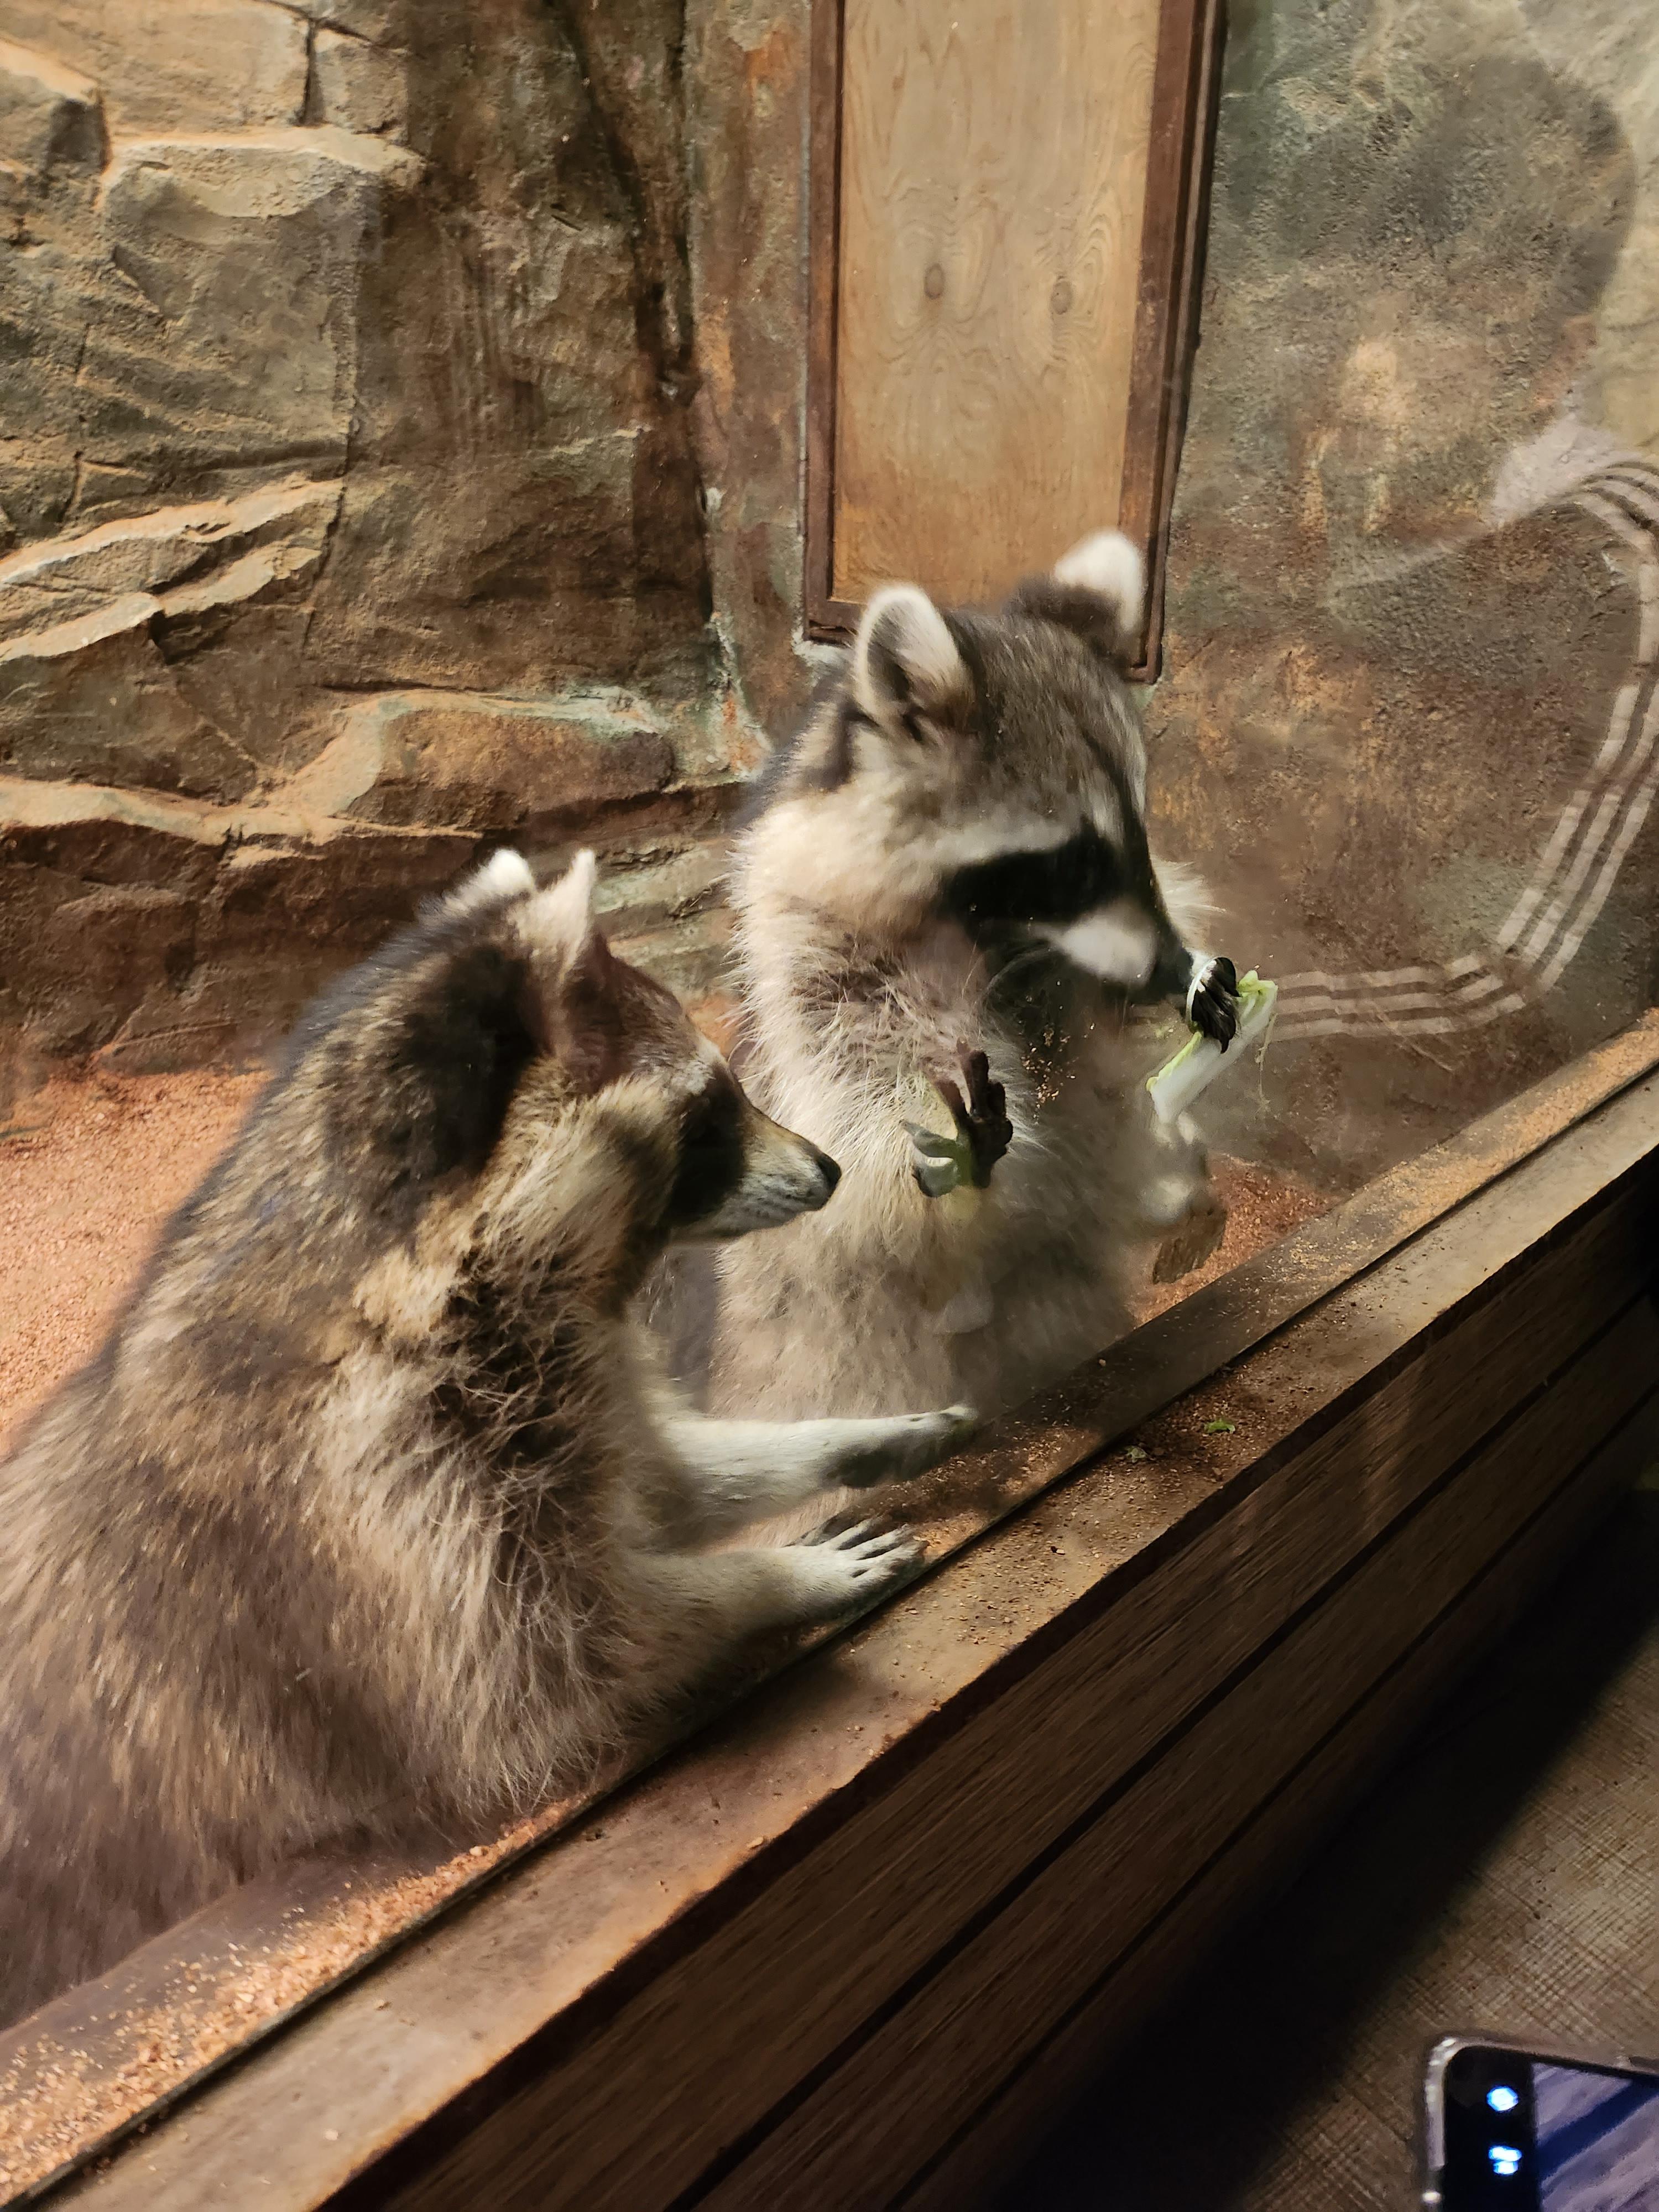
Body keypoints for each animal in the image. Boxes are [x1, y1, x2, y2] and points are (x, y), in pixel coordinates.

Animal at [0, 850, 973, 2028]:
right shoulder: (374, 1517)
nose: (829, 1171)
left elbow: (663, 1482)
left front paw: (856, 1440)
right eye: (710, 1110)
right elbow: (554, 1679)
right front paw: (771, 1581)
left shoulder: (563, 1389)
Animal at [701, 531, 1239, 1423]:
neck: (1002, 938)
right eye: (1071, 861)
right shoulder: (815, 965)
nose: (1164, 964)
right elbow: (863, 1120)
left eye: (1139, 829)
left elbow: (1103, 1021)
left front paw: (1186, 975)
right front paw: (958, 1160)